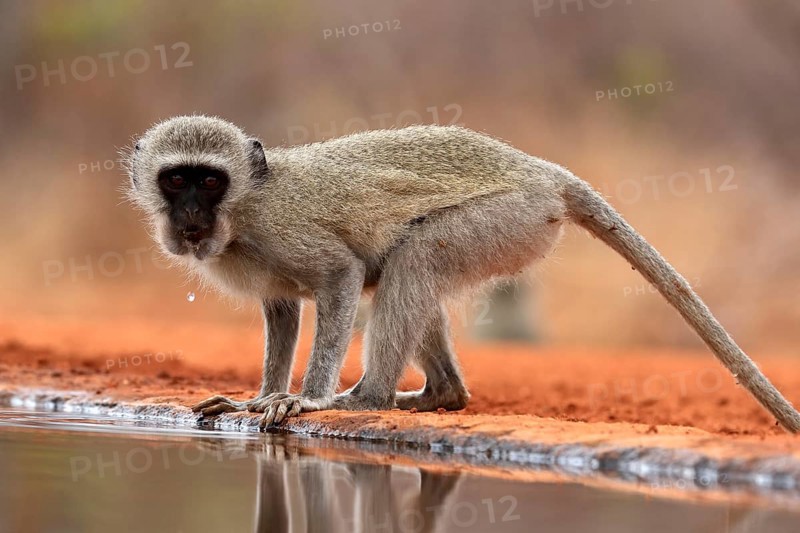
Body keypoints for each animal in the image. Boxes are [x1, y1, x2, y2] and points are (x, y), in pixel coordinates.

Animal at [124, 115, 800, 433]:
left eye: (209, 180)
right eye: (176, 179)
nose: (190, 217)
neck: (242, 211)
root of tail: (543, 172)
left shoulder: (284, 232)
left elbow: (341, 275)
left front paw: (303, 398)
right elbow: (283, 311)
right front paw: (261, 395)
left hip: (513, 218)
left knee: (413, 256)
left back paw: (366, 397)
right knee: (403, 268)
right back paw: (439, 394)